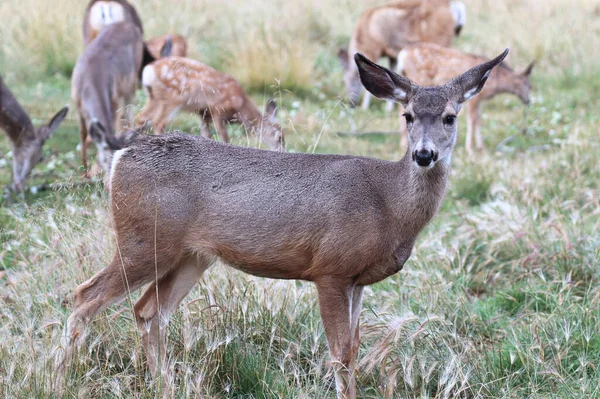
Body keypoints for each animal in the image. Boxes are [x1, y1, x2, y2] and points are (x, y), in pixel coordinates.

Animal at [137, 57, 284, 153]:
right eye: (279, 137)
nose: (281, 151)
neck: (240, 105)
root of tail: (149, 70)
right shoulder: (217, 109)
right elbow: (224, 136)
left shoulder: (204, 113)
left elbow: (205, 134)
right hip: (173, 98)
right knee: (158, 122)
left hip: (153, 97)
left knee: (141, 118)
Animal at [396, 42, 532, 155]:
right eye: (528, 86)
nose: (529, 101)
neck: (495, 81)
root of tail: (402, 55)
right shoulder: (473, 99)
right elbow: (472, 119)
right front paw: (470, 149)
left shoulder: (478, 100)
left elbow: (478, 118)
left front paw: (481, 147)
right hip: (419, 79)